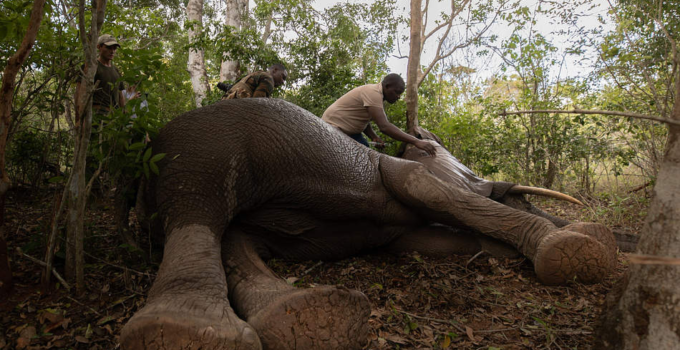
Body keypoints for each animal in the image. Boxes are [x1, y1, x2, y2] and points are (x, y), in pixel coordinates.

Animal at [119, 98, 620, 350]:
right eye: (442, 150)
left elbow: (435, 237)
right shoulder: (400, 171)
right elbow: (428, 189)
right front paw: (576, 249)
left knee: (234, 236)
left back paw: (310, 320)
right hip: (199, 147)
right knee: (197, 207)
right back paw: (186, 335)